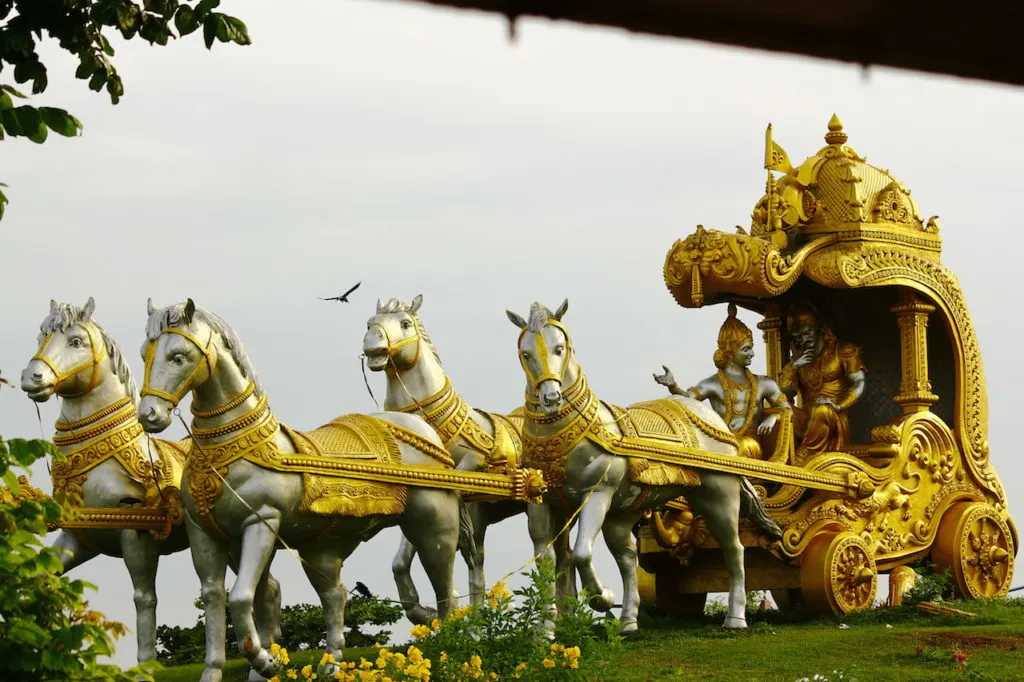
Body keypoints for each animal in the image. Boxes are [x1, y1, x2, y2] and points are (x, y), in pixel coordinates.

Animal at [18, 296, 280, 667]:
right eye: (41, 336)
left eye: (76, 342)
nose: (31, 377)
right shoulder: (79, 538)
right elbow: (39, 579)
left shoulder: (135, 532)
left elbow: (144, 598)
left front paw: (146, 666)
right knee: (267, 588)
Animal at [134, 296, 462, 679]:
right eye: (144, 354)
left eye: (178, 357)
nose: (150, 415)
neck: (231, 448)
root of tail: (422, 428)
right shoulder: (205, 532)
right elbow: (216, 596)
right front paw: (218, 670)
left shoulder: (262, 522)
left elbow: (241, 596)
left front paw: (266, 660)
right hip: (323, 547)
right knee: (335, 595)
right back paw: (331, 663)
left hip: (434, 527)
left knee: (446, 587)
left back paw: (452, 650)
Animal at [362, 292, 569, 614]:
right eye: (370, 323)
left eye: (405, 323)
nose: (372, 343)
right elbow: (402, 561)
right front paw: (424, 612)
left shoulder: (469, 486)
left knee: (546, 553)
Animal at [505, 301, 782, 630]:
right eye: (525, 354)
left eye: (560, 348)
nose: (551, 398)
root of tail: (714, 418)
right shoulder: (541, 502)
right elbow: (547, 562)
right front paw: (545, 631)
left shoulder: (597, 492)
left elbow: (580, 554)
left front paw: (602, 598)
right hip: (624, 512)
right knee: (627, 558)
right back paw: (628, 622)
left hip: (719, 493)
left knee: (734, 549)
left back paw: (735, 618)